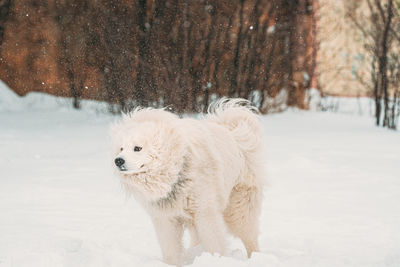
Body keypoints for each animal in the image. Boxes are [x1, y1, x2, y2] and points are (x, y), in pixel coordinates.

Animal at [111, 99, 264, 266]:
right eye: (121, 148)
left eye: (137, 148)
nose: (118, 161)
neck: (176, 171)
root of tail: (233, 132)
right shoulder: (166, 219)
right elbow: (170, 249)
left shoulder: (205, 212)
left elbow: (214, 242)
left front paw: (217, 259)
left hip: (238, 205)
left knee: (249, 234)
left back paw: (256, 257)